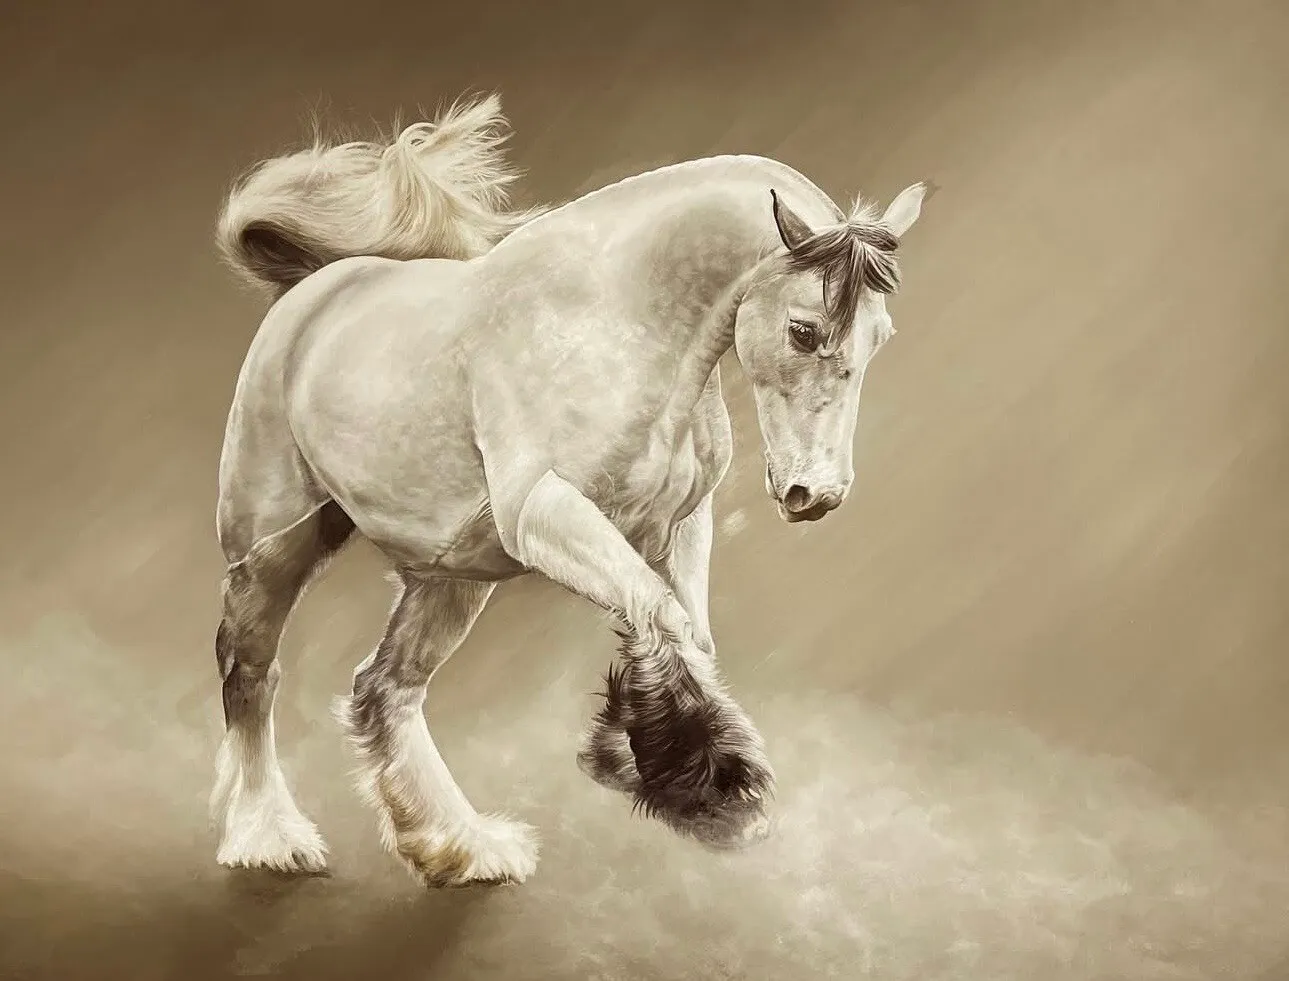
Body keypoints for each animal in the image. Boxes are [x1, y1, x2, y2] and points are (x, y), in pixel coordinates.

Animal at [209, 93, 931, 888]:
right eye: (804, 331)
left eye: (880, 336)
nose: (815, 493)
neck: (619, 321)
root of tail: (315, 291)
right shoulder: (547, 514)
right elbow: (661, 615)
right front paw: (707, 785)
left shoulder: (677, 524)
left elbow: (686, 625)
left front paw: (653, 759)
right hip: (276, 544)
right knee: (249, 671)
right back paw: (269, 836)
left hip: (451, 576)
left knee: (384, 688)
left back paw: (459, 847)